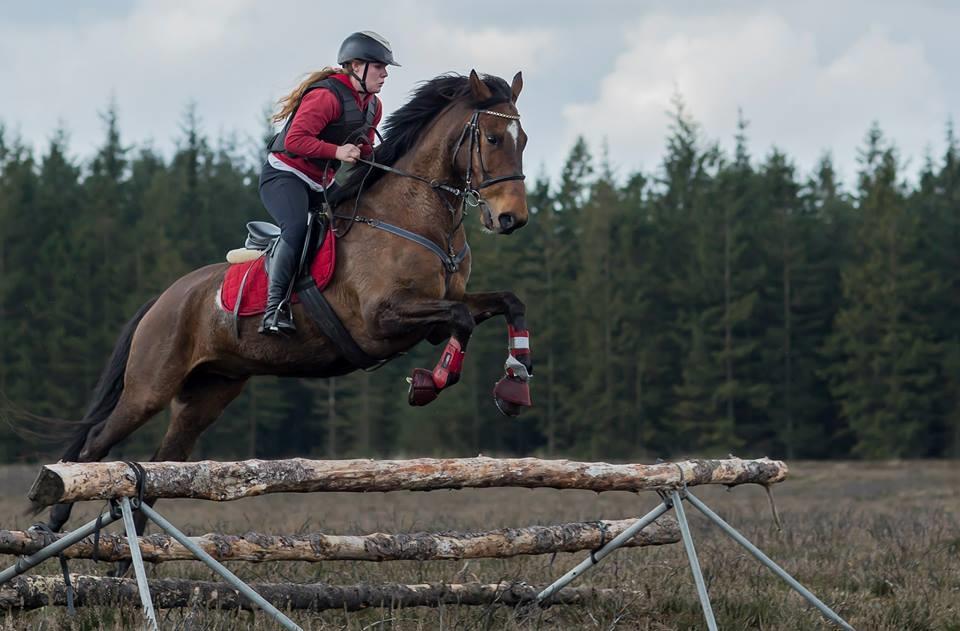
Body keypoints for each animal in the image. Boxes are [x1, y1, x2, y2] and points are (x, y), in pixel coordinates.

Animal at [43, 69, 532, 532]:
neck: (416, 220)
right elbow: (460, 321)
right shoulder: (381, 320)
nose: (512, 219)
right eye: (492, 138)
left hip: (208, 393)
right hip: (150, 387)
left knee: (167, 463)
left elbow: (508, 304)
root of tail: (163, 299)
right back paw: (51, 518)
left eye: (523, 140)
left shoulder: (439, 312)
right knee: (96, 442)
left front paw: (514, 387)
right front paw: (428, 384)